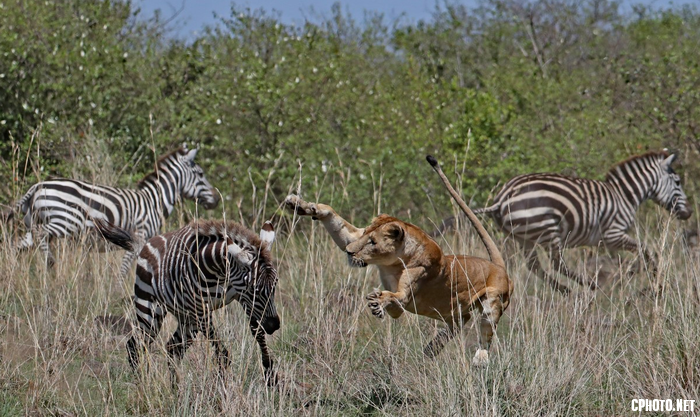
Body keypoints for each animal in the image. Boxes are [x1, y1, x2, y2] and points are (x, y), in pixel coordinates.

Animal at [283, 155, 513, 364]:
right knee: (458, 323)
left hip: (493, 301)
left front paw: (377, 301)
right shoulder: (354, 237)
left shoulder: (405, 298)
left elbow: (396, 296)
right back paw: (431, 349)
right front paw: (301, 205)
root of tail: (498, 266)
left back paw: (479, 360)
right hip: (454, 313)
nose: (349, 252)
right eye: (366, 236)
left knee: (486, 334)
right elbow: (337, 221)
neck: (392, 262)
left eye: (373, 242)